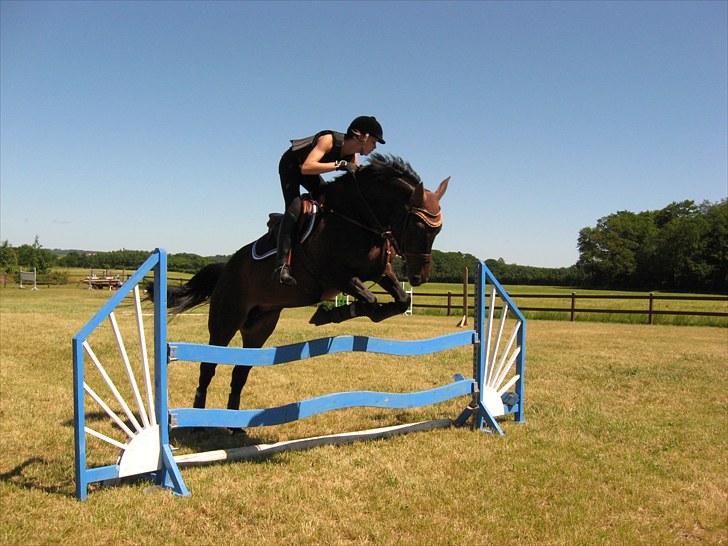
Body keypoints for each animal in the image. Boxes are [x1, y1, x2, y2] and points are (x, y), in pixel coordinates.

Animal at [153, 154, 446, 412]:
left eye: (438, 229)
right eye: (419, 225)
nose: (420, 277)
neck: (355, 219)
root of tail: (227, 269)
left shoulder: (379, 272)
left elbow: (400, 300)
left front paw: (336, 313)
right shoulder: (335, 276)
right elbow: (371, 300)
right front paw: (330, 313)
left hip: (259, 327)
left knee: (240, 371)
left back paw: (233, 424)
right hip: (226, 320)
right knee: (208, 366)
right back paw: (200, 415)